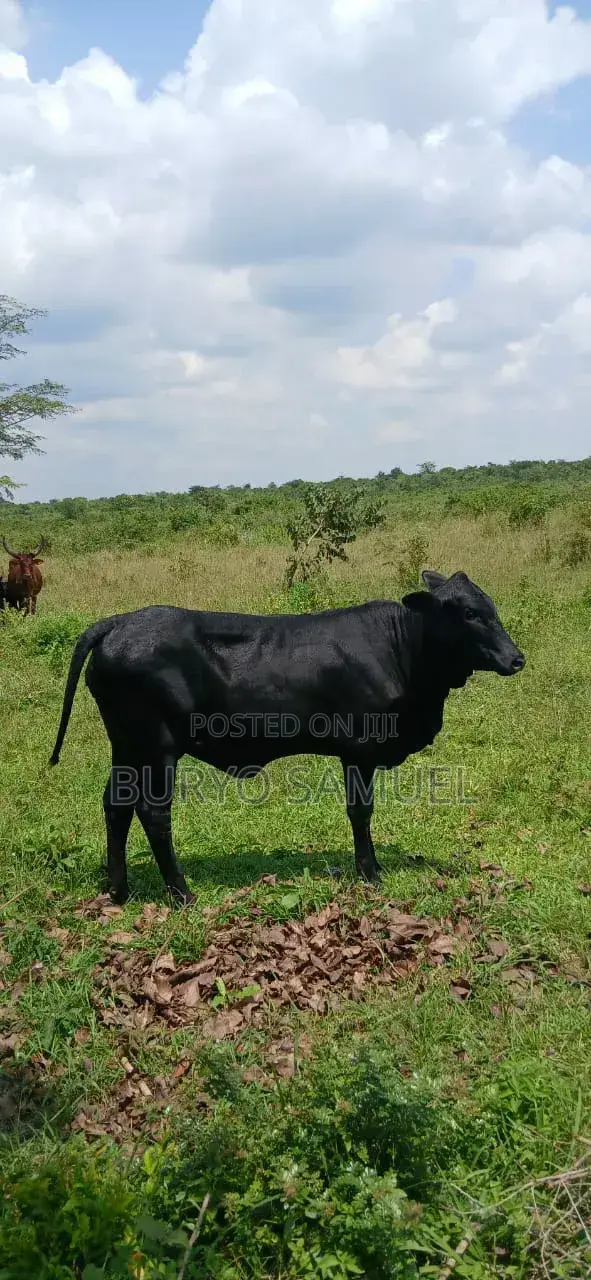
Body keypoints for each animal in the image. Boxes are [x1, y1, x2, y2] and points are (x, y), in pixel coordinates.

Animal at [50, 569, 525, 906]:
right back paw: (181, 893)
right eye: (469, 614)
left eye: (490, 607)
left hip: (127, 746)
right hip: (156, 747)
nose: (516, 658)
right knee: (152, 811)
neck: (403, 652)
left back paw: (118, 890)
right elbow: (360, 812)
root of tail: (121, 621)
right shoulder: (359, 749)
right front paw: (370, 872)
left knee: (116, 805)